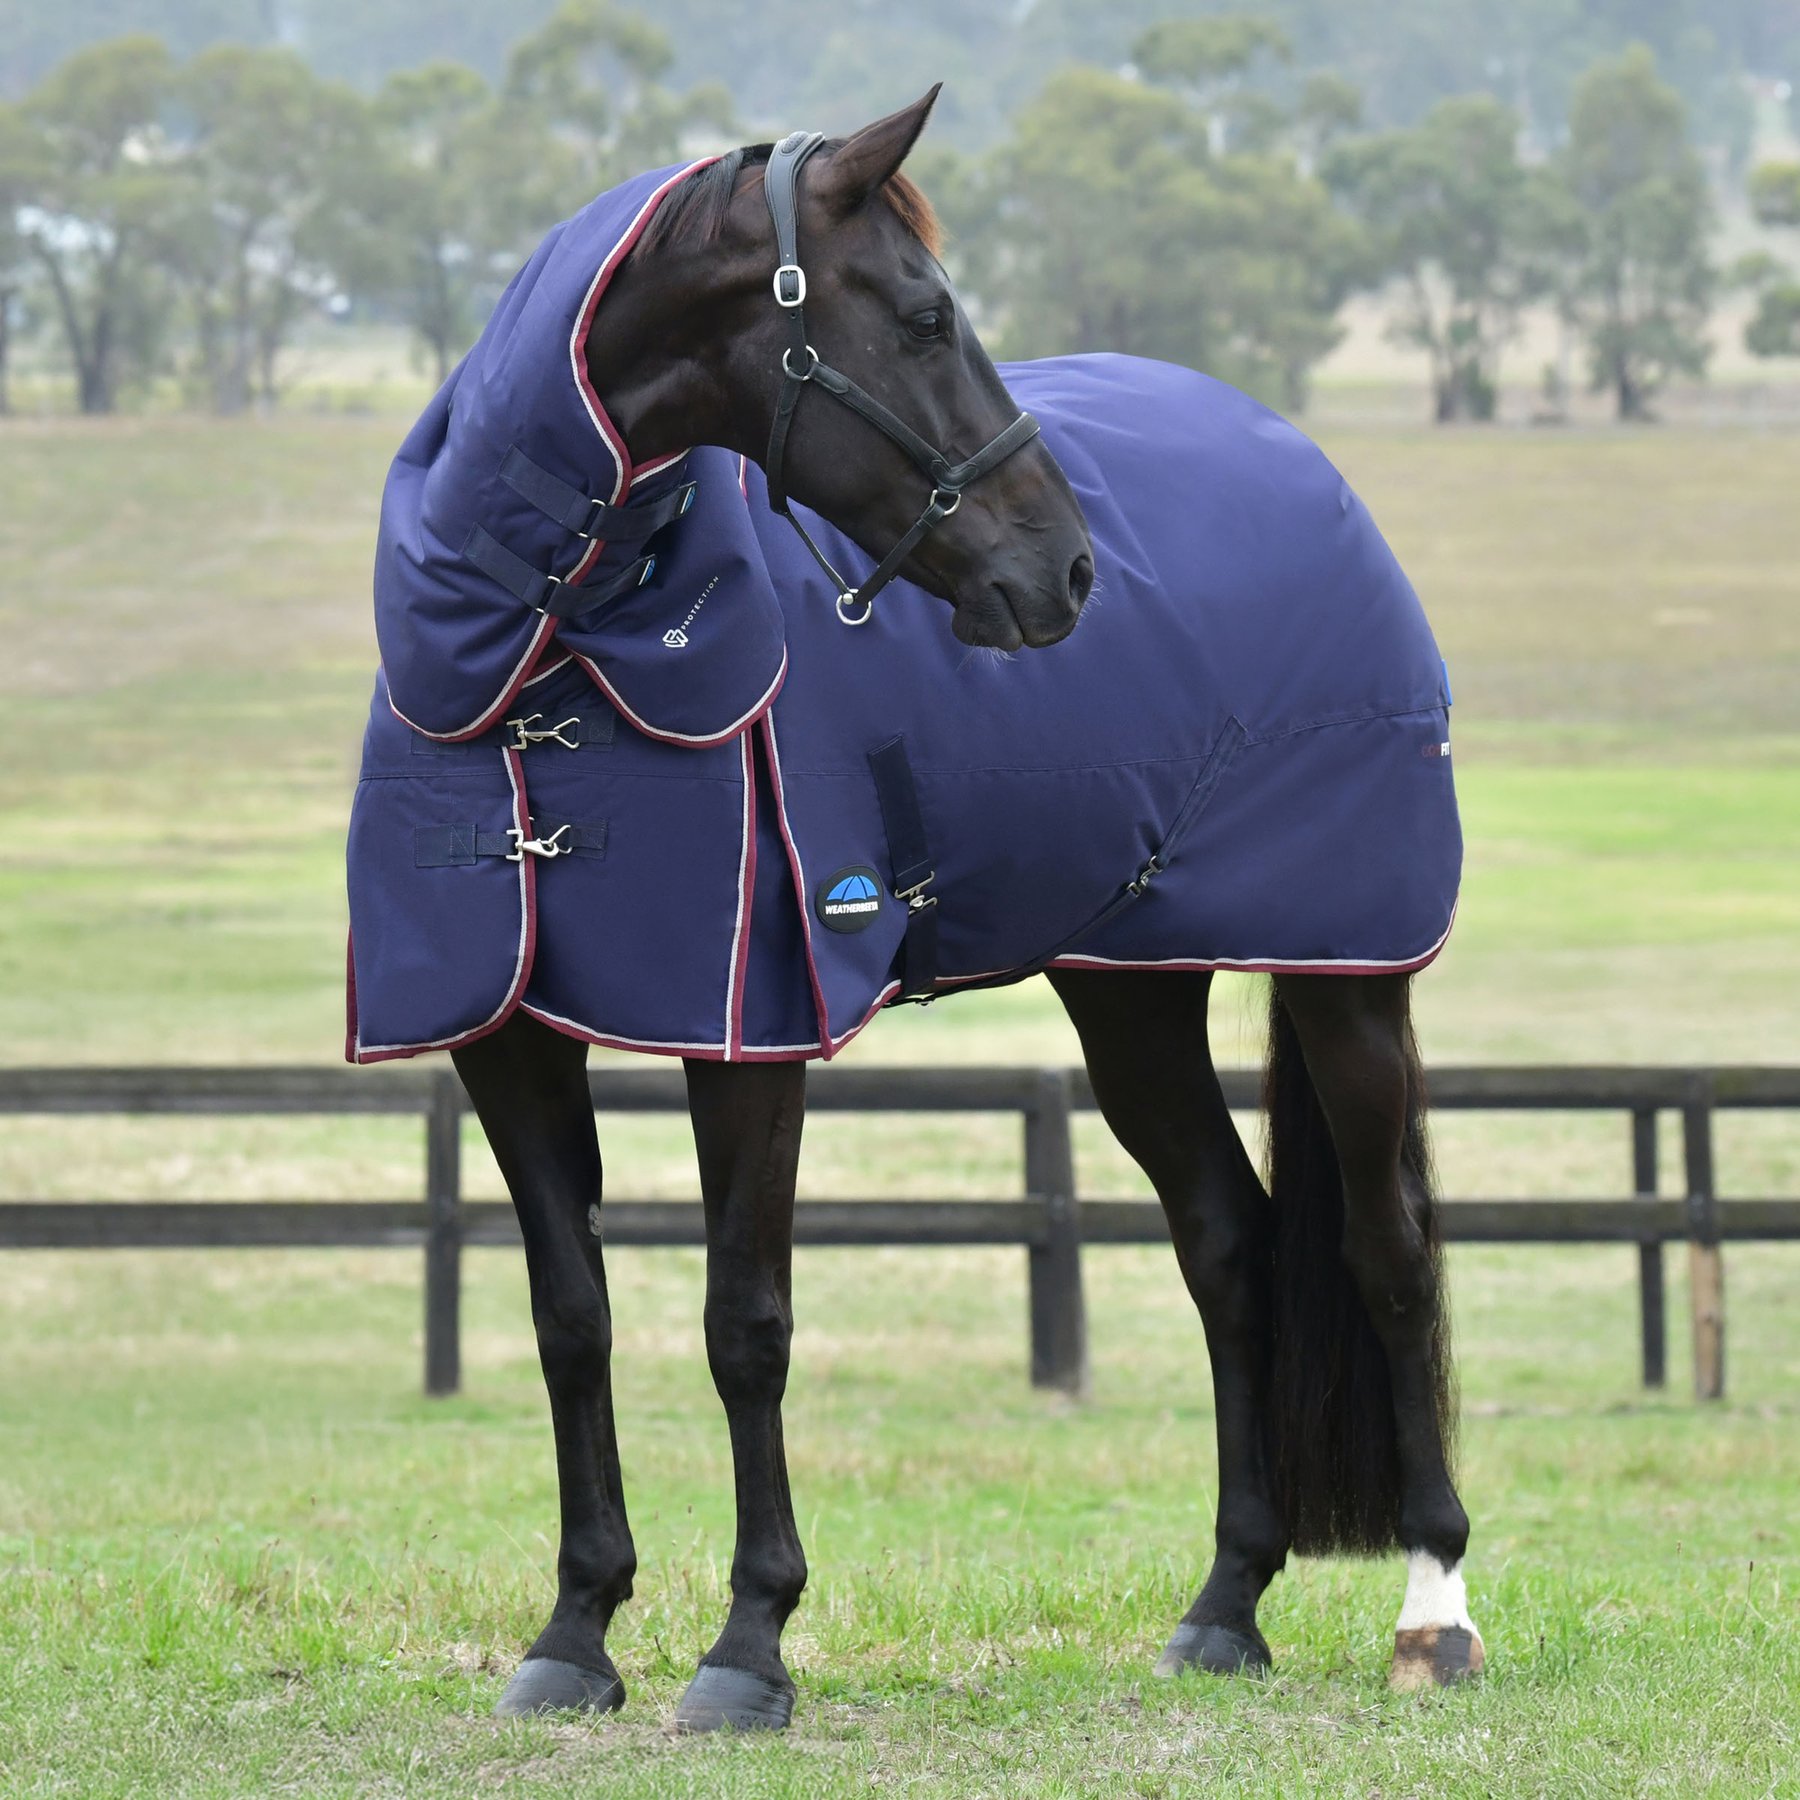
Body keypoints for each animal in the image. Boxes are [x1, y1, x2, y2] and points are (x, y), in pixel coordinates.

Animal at [347, 90, 1479, 1732]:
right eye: (926, 315)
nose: (1066, 569)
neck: (555, 655)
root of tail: (1299, 460)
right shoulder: (506, 1036)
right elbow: (573, 1316)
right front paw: (575, 1631)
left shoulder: (748, 1036)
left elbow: (744, 1324)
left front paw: (748, 1644)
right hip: (1130, 986)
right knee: (1229, 1242)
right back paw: (1224, 1605)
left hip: (1346, 969)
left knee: (1388, 1251)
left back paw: (1435, 1609)